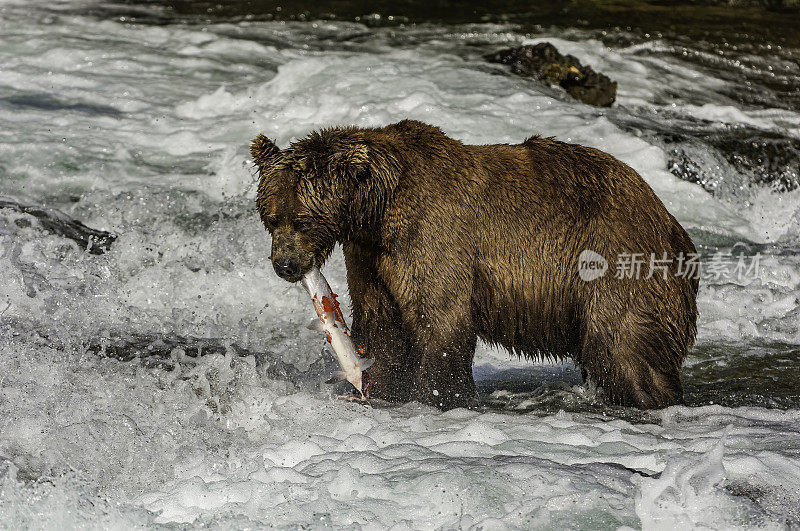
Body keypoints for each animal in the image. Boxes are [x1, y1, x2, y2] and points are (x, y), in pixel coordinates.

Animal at [253, 119, 696, 412]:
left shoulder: (433, 235)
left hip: (614, 259)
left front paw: (435, 396)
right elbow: (382, 326)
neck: (376, 209)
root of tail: (671, 222)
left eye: (302, 219)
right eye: (271, 218)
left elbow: (440, 320)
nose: (286, 265)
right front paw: (385, 389)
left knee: (624, 346)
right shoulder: (370, 256)